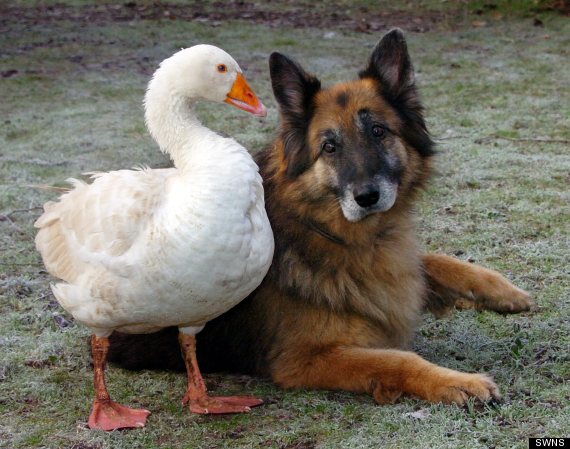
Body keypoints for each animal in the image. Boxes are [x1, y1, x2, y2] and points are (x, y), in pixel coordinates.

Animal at [108, 29, 532, 404]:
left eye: (378, 131)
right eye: (329, 146)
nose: (367, 197)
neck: (329, 233)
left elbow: (435, 260)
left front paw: (503, 291)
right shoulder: (304, 358)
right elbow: (399, 359)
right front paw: (459, 382)